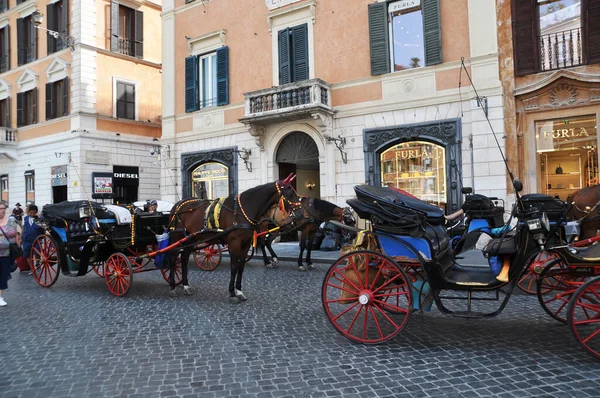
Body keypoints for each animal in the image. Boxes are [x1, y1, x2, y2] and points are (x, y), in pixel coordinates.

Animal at [168, 176, 300, 304]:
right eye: (289, 192)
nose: (299, 212)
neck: (243, 210)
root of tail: (177, 204)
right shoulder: (234, 244)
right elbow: (233, 268)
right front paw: (232, 293)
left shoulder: (245, 244)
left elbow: (240, 268)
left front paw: (239, 291)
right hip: (177, 238)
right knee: (173, 259)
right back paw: (173, 287)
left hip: (190, 239)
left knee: (184, 259)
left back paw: (185, 285)